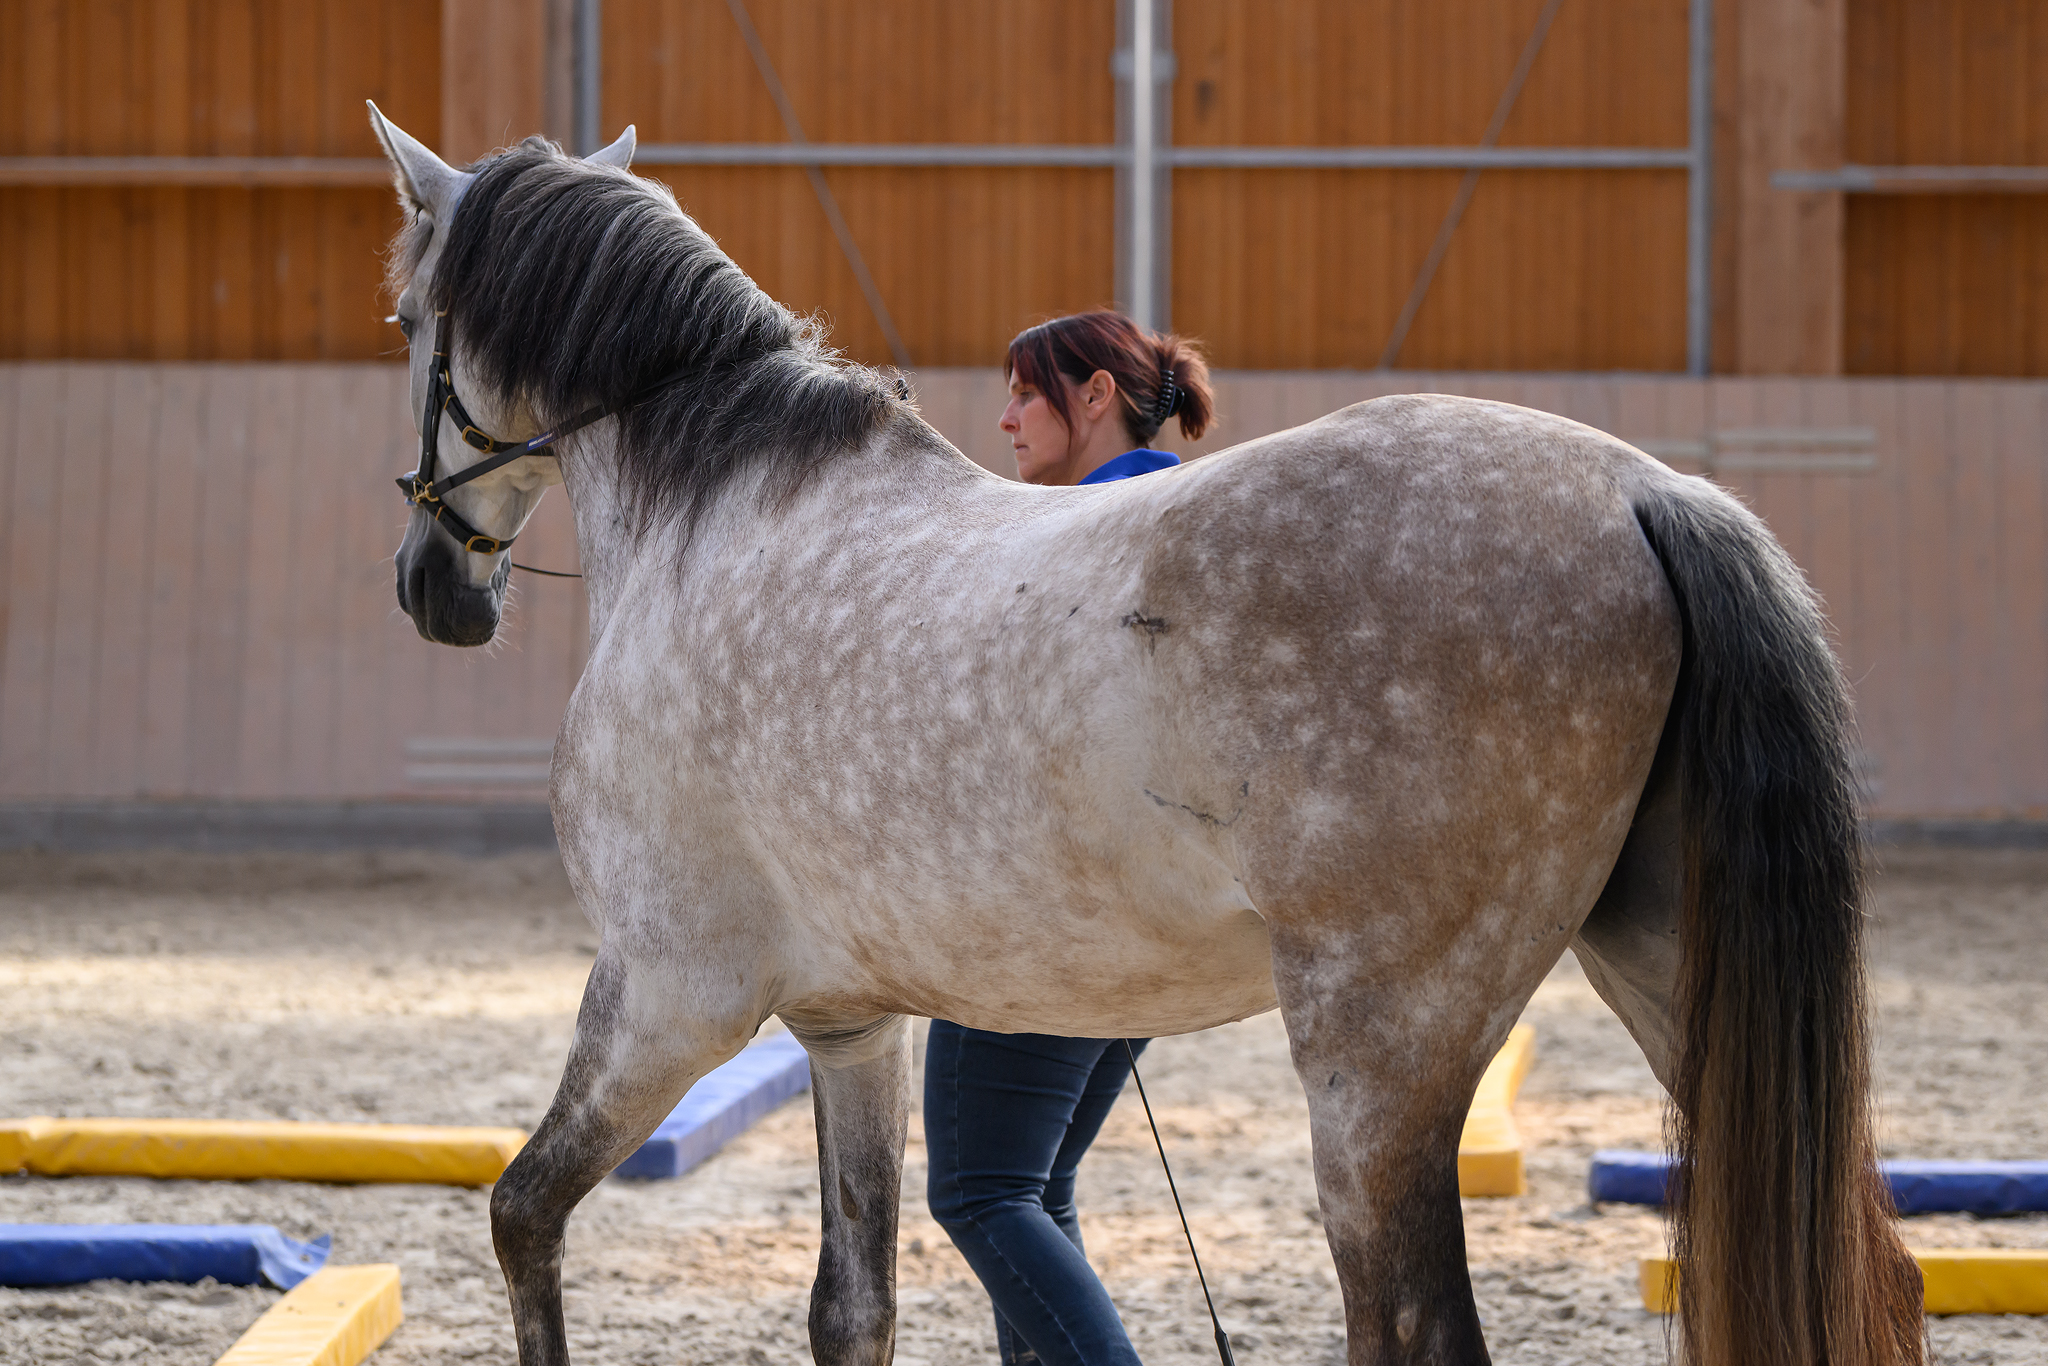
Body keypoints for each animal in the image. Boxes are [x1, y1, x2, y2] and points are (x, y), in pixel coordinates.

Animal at [368, 104, 1916, 1366]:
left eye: (403, 321)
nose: (432, 588)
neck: (720, 511)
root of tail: (1645, 491)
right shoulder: (847, 1024)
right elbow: (851, 1307)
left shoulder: (669, 988)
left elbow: (522, 1214)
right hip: (1658, 968)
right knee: (1878, 1271)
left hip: (1380, 1059)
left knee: (1412, 1324)